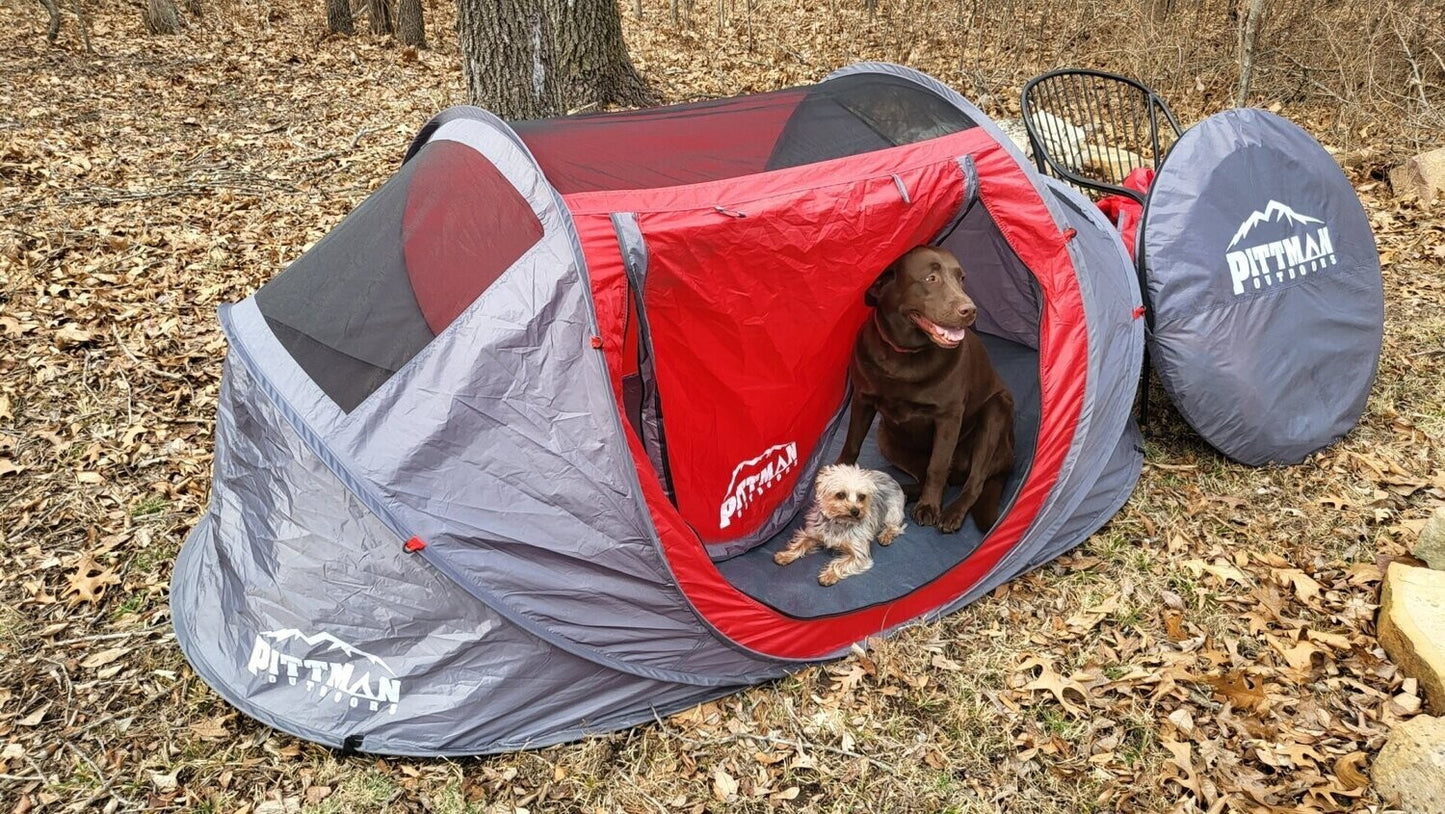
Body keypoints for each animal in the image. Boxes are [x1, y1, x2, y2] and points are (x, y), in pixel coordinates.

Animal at [838, 247, 1017, 534]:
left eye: (961, 279)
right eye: (931, 278)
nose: (970, 310)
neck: (904, 355)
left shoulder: (948, 417)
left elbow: (938, 466)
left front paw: (930, 507)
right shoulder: (862, 400)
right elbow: (851, 444)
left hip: (997, 410)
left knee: (973, 481)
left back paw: (951, 512)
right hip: (886, 438)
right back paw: (900, 491)